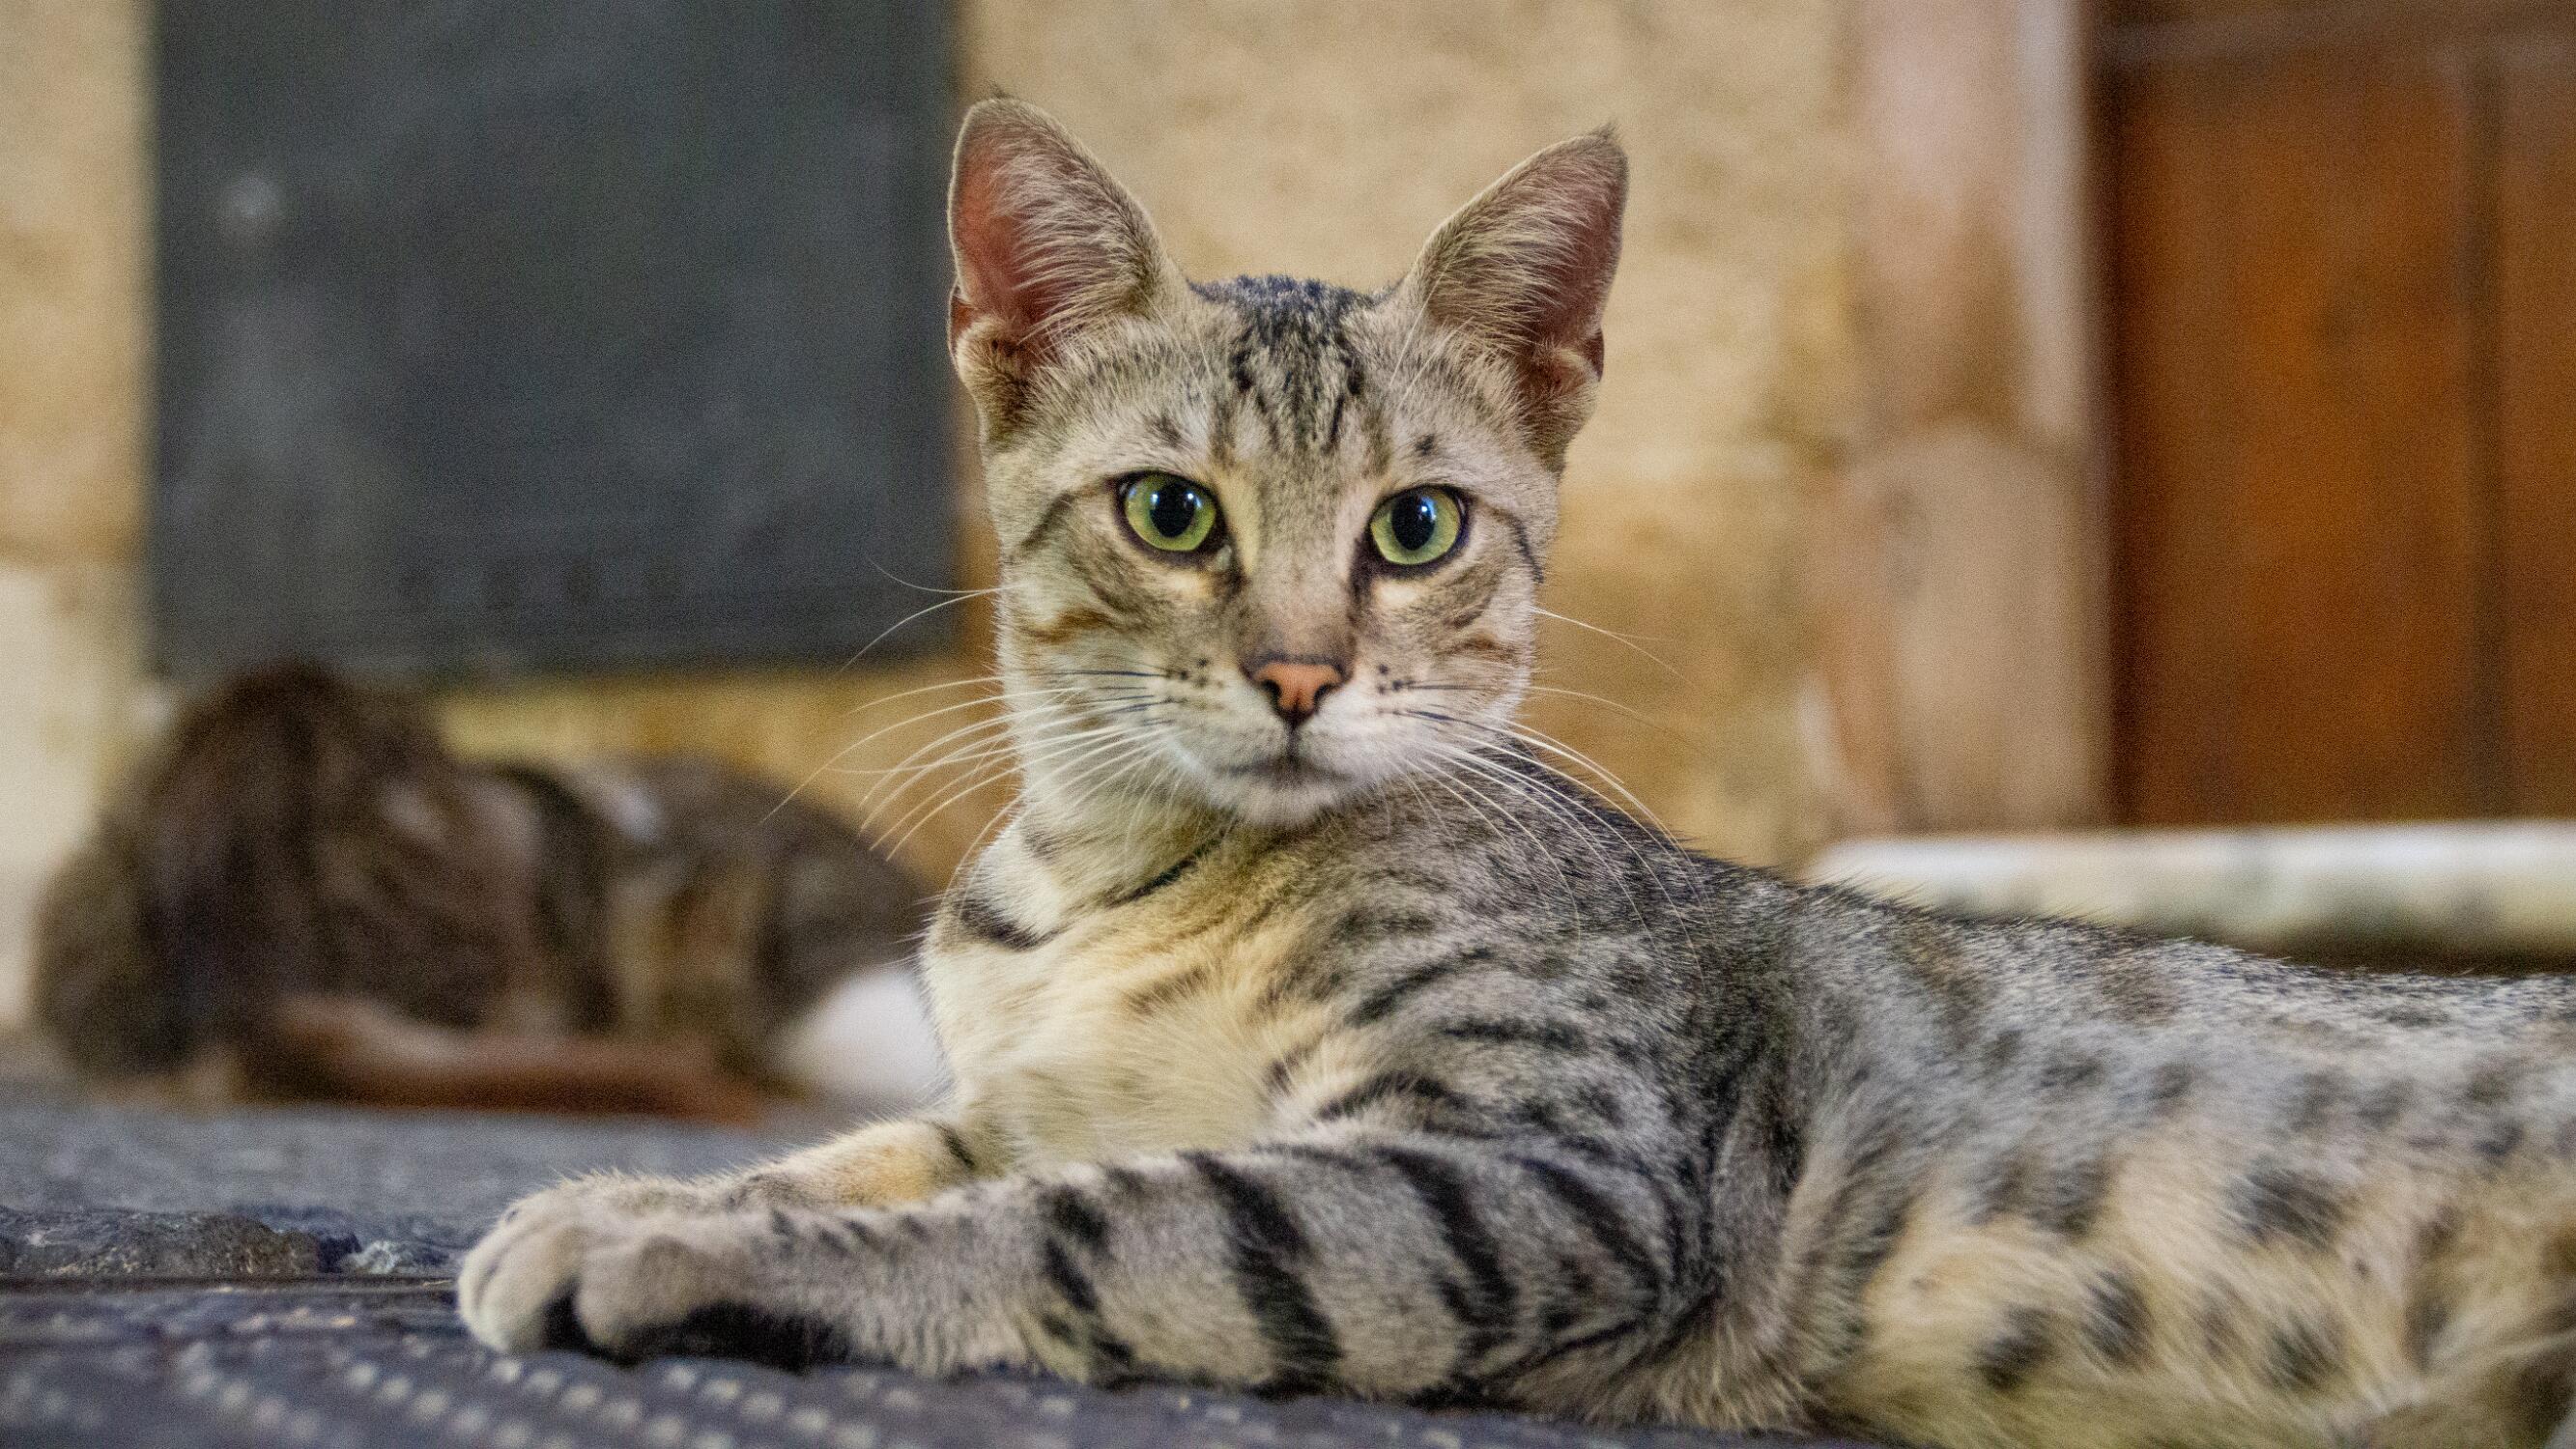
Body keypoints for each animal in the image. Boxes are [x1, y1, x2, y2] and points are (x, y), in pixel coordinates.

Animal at [459, 99, 2576, 1447]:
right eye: (1170, 512)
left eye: (1414, 529)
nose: (1299, 673)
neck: (1122, 880)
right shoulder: (1021, 1096)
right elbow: (866, 1154)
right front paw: (630, 1197)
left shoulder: (1546, 1168)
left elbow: (1087, 1221)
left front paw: (669, 1251)